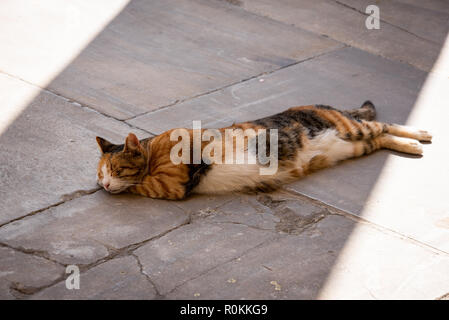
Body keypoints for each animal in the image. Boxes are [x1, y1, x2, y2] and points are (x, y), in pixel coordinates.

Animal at [95, 101, 430, 199]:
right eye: (100, 175)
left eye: (115, 169)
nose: (105, 184)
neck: (153, 152)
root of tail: (326, 105)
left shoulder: (171, 184)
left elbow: (140, 185)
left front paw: (125, 186)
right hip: (354, 146)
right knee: (381, 138)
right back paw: (411, 145)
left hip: (352, 128)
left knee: (383, 125)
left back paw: (419, 135)